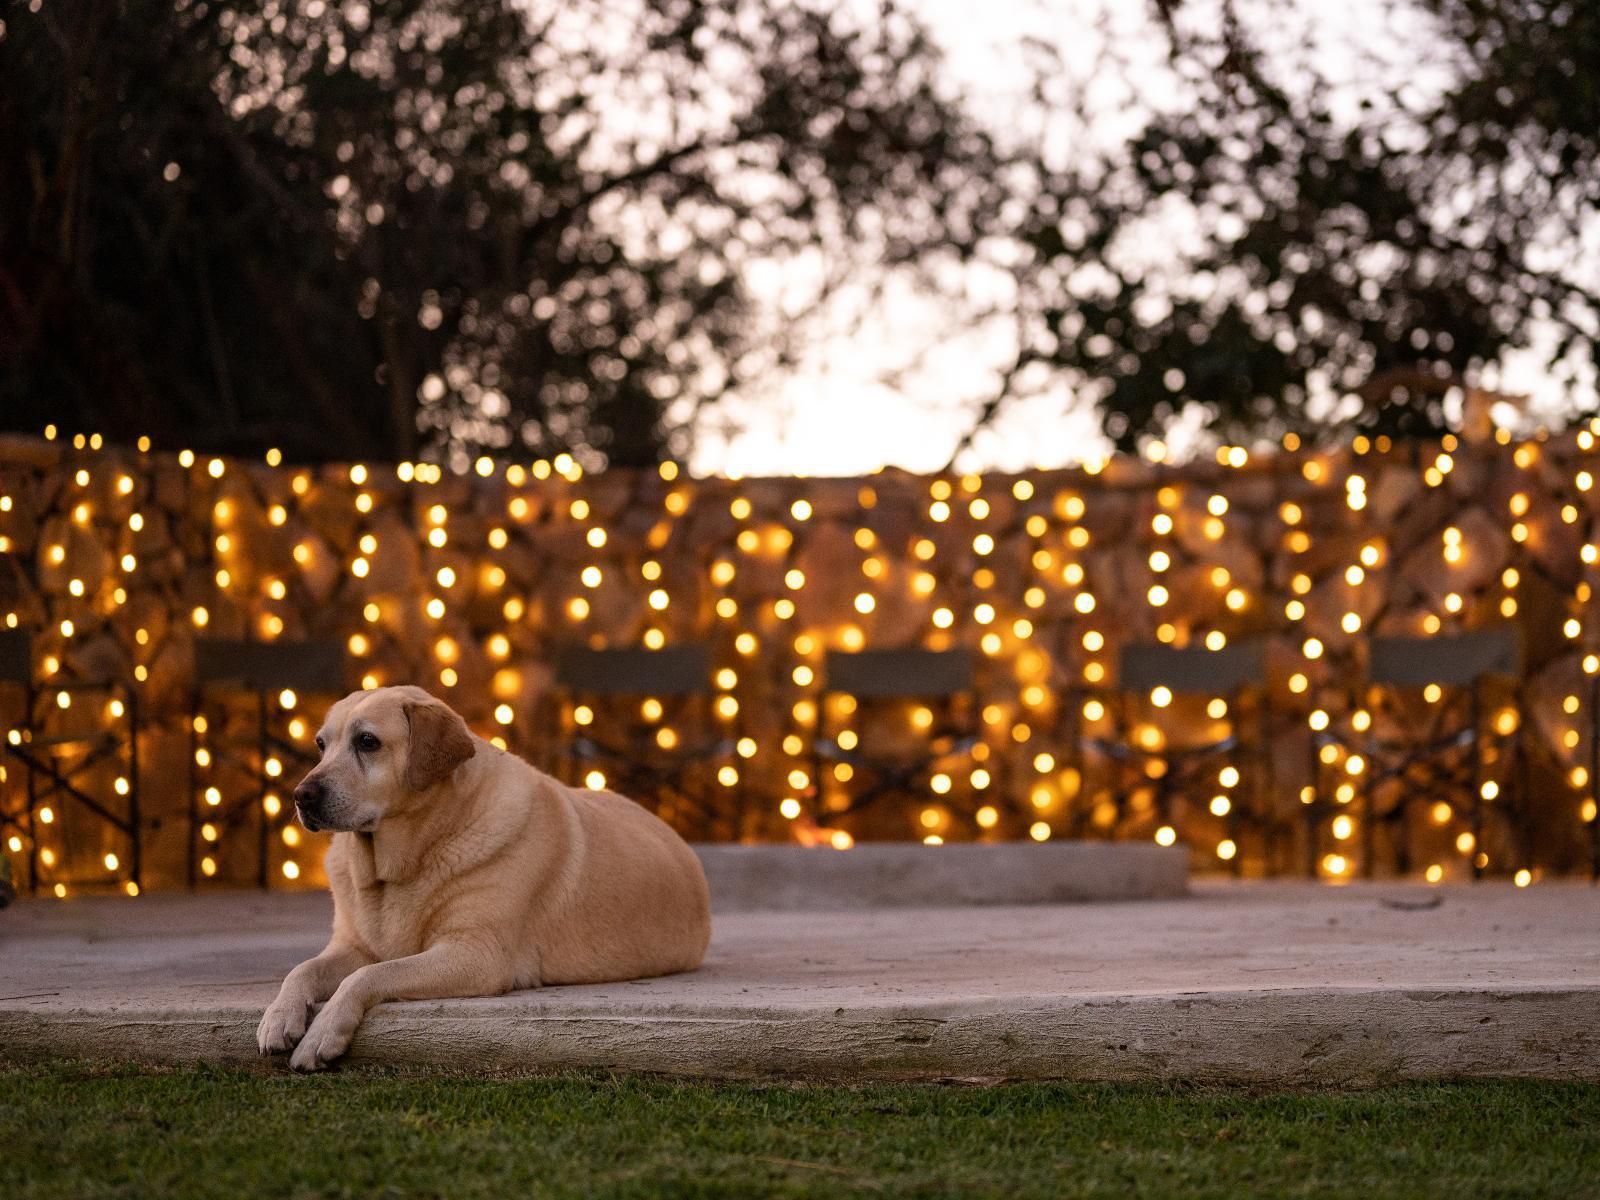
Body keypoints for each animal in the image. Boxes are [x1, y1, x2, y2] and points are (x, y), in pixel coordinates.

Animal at [259, 684, 710, 1068]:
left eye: (367, 742)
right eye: (321, 745)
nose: (301, 796)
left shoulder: (477, 954)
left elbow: (368, 975)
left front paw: (322, 1031)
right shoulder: (354, 945)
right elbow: (304, 969)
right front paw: (279, 1015)